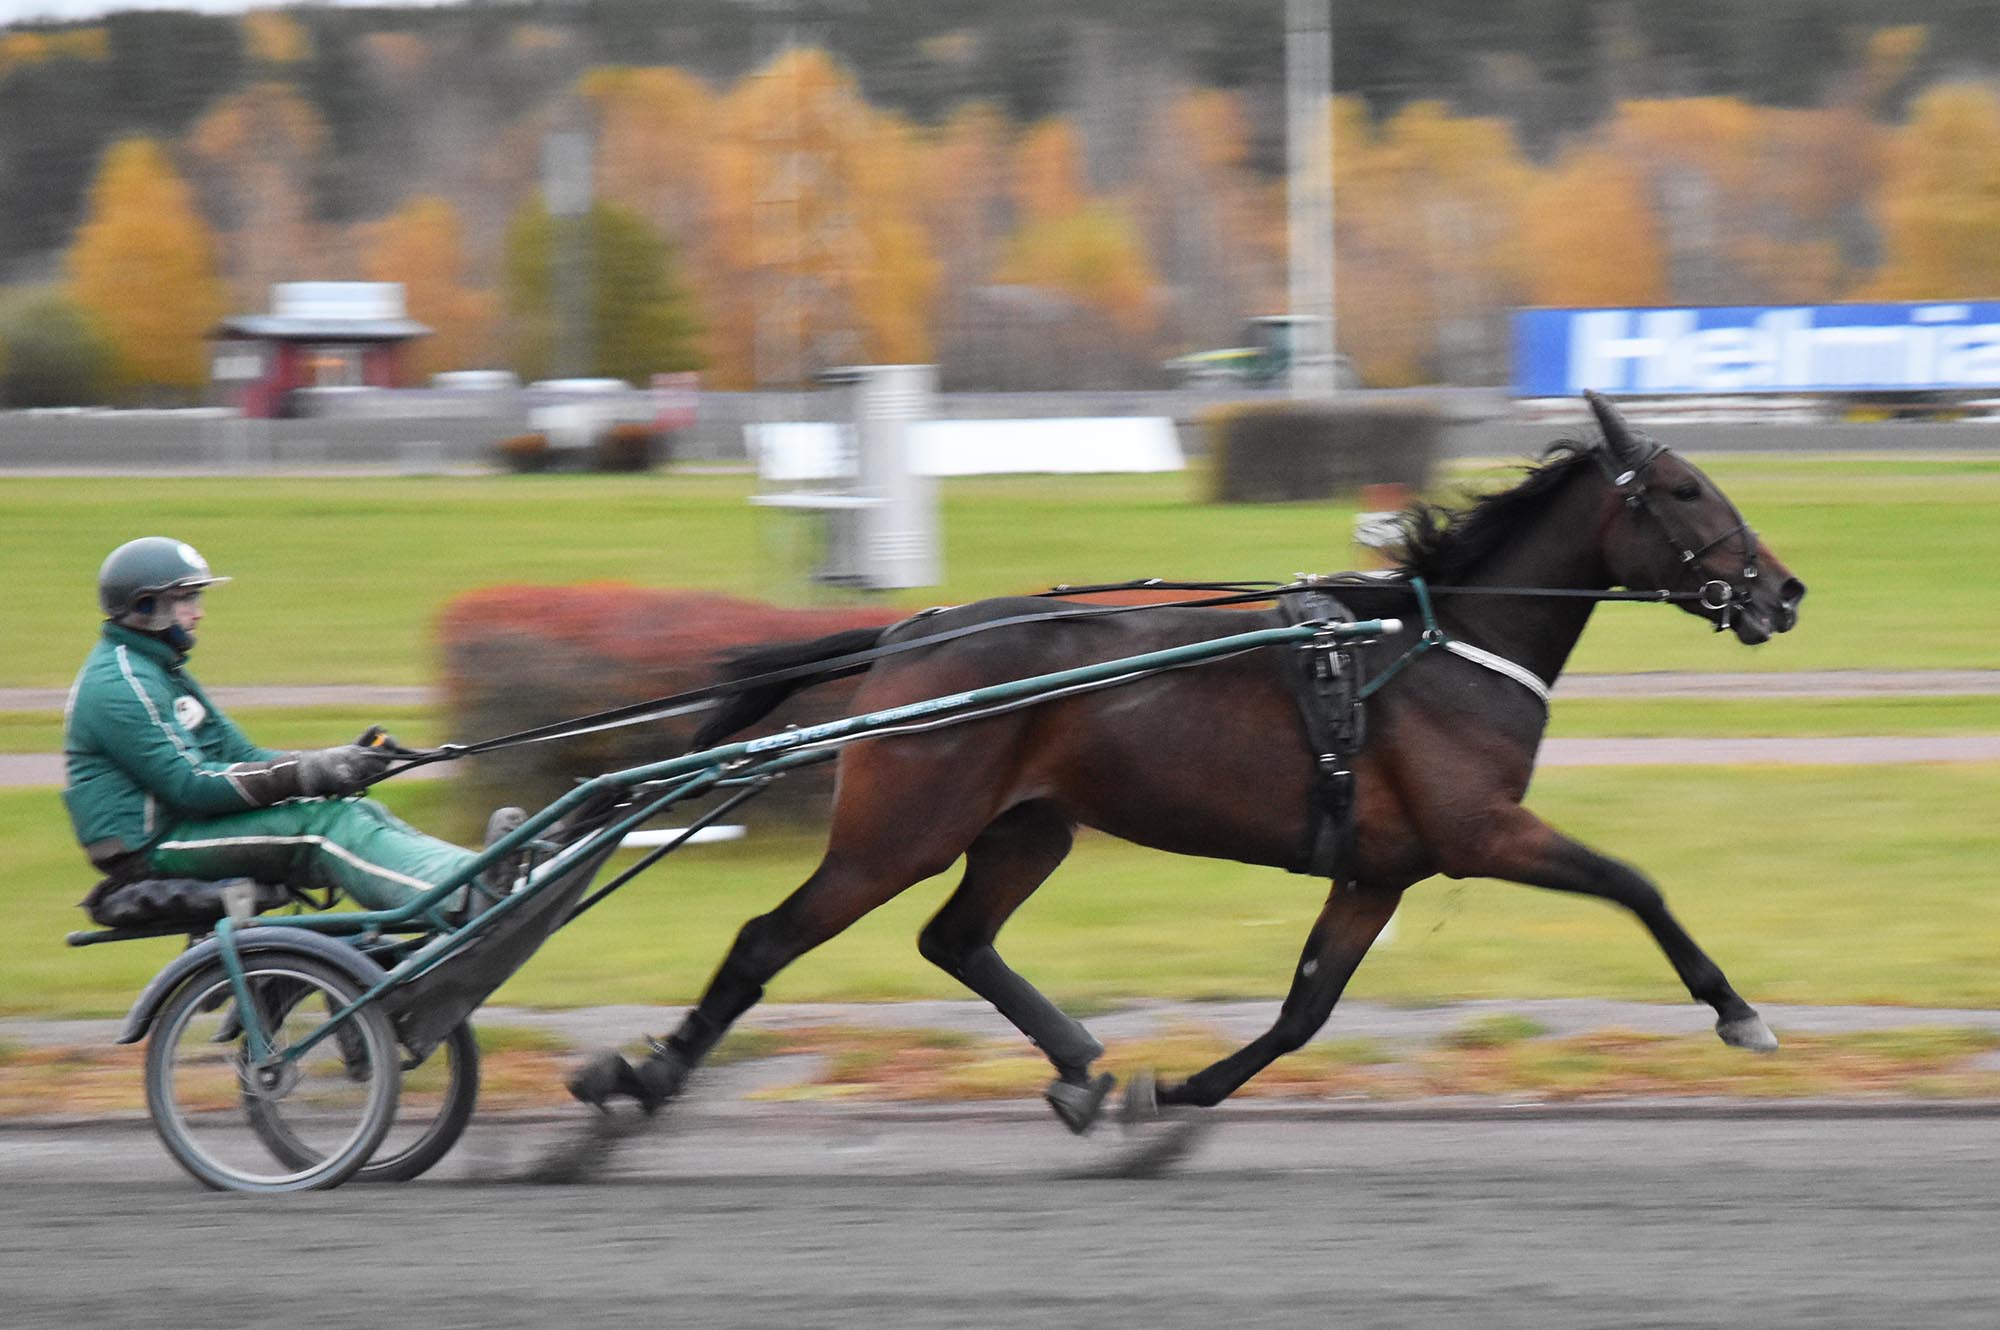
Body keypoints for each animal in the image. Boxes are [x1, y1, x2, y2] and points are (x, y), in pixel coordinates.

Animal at [572, 390, 1808, 1128]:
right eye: (1685, 490)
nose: (1783, 591)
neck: (1439, 644)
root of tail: (909, 631)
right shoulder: (1479, 832)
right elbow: (1633, 884)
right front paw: (1735, 1011)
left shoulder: (1377, 870)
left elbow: (1307, 1006)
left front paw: (1178, 1087)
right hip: (900, 827)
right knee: (768, 936)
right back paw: (648, 1071)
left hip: (1025, 827)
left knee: (955, 938)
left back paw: (1078, 1068)